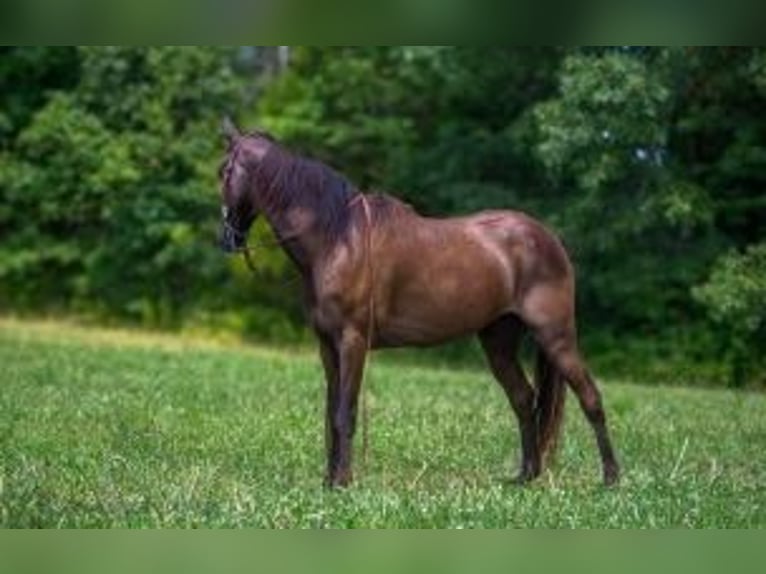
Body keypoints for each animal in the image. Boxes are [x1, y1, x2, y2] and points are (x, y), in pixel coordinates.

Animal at [214, 121, 616, 490]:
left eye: (224, 171)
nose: (227, 238)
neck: (337, 239)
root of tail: (548, 239)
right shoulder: (327, 345)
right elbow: (331, 411)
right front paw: (329, 480)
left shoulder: (353, 340)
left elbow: (346, 412)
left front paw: (342, 481)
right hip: (498, 341)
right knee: (524, 399)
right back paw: (526, 476)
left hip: (555, 335)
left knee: (591, 398)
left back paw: (611, 478)